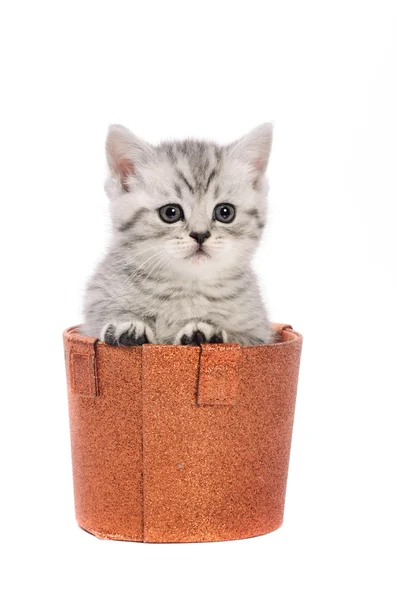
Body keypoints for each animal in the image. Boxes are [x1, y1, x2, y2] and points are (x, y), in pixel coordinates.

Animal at [82, 123, 274, 344]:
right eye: (170, 213)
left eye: (225, 212)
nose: (200, 235)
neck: (186, 289)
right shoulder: (97, 302)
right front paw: (127, 326)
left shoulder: (260, 332)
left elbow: (239, 337)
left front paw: (205, 332)